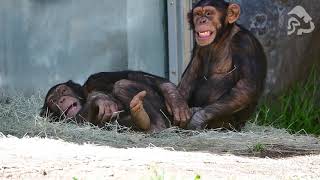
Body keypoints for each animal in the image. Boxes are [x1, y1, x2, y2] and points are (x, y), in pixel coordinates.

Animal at [40, 71, 190, 133]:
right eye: (53, 101)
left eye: (64, 90)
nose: (61, 99)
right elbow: (78, 121)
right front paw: (99, 99)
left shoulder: (95, 79)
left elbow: (130, 74)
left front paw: (175, 100)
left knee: (123, 83)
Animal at [178, 0, 268, 130]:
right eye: (198, 14)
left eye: (209, 13)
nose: (202, 20)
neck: (221, 37)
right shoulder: (198, 46)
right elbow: (189, 77)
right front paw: (178, 108)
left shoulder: (244, 43)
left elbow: (246, 86)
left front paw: (197, 119)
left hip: (229, 124)